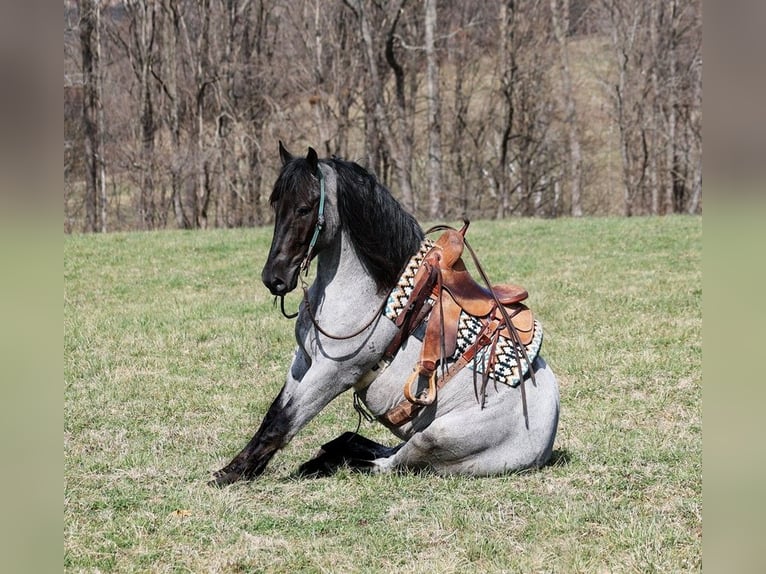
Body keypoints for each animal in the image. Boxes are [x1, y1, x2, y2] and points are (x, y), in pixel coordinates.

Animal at [213, 143, 560, 486]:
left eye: (305, 208)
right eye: (276, 204)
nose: (275, 277)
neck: (367, 291)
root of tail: (547, 437)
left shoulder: (332, 374)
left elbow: (283, 423)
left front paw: (231, 473)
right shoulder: (304, 361)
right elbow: (275, 413)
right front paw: (245, 467)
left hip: (432, 438)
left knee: (388, 463)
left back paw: (326, 461)